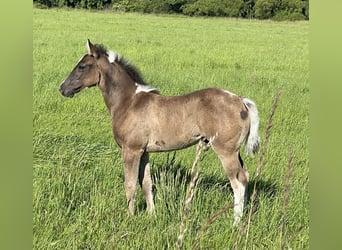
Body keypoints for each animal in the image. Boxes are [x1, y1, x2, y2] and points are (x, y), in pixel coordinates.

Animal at [60, 39, 260, 227]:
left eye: (82, 66)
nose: (62, 89)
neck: (128, 102)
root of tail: (241, 101)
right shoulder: (144, 152)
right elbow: (146, 183)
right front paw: (152, 215)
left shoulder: (131, 150)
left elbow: (130, 184)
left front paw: (129, 217)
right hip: (234, 151)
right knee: (245, 176)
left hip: (226, 151)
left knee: (238, 182)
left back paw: (236, 223)